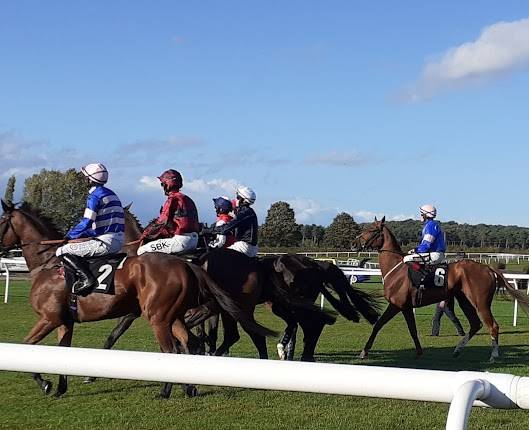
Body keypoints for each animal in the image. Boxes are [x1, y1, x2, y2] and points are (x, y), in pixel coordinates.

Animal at [0, 200, 272, 398]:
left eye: (1, 220)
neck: (48, 264)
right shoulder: (65, 320)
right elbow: (61, 352)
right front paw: (61, 387)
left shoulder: (51, 318)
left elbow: (29, 347)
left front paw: (50, 382)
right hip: (192, 312)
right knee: (206, 339)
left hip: (174, 313)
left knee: (188, 343)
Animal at [352, 217, 529, 362]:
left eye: (372, 230)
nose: (354, 243)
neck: (396, 269)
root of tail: (488, 268)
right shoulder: (406, 307)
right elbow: (412, 329)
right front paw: (419, 351)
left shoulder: (397, 305)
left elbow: (378, 325)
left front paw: (364, 351)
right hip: (464, 300)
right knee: (475, 324)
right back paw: (457, 350)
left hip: (481, 302)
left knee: (492, 325)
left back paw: (493, 355)